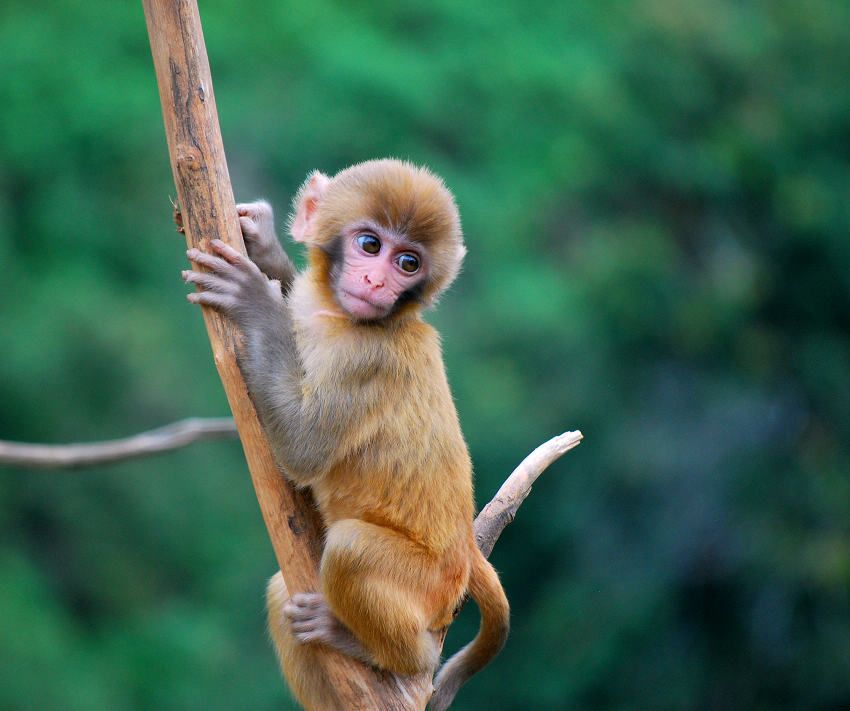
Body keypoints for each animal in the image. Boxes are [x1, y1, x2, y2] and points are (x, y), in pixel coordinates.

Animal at [180, 161, 506, 711]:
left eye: (409, 262)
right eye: (370, 245)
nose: (376, 279)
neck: (339, 316)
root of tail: (464, 550)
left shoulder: (368, 363)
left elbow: (303, 447)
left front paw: (253, 299)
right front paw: (265, 246)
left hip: (429, 588)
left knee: (352, 551)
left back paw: (383, 651)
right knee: (281, 596)